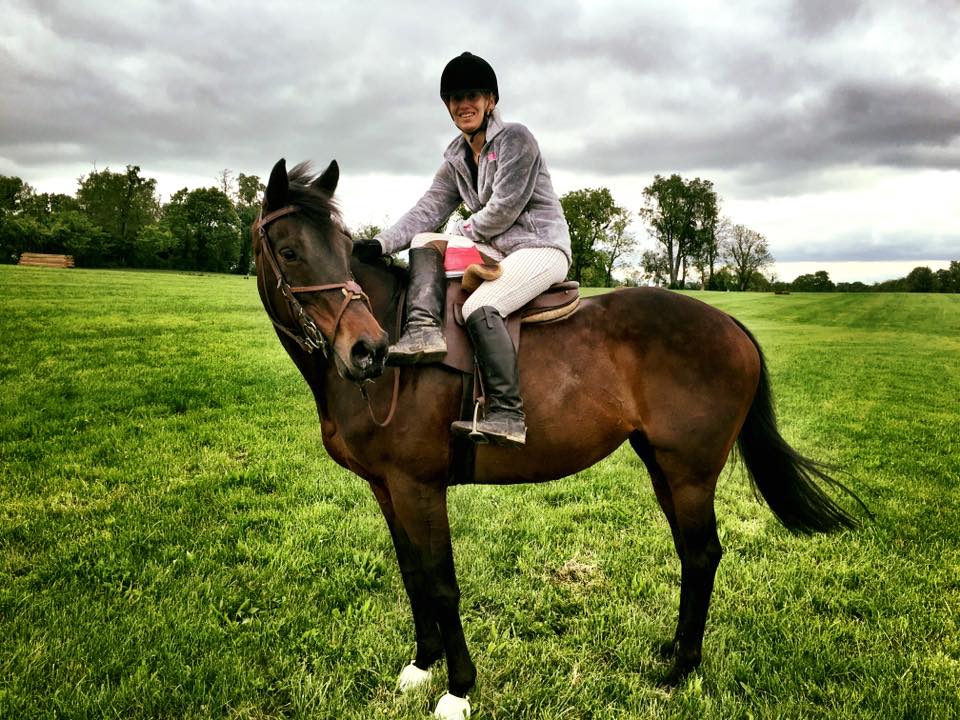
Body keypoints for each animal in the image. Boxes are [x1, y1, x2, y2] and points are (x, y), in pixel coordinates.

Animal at [253, 159, 864, 720]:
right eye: (290, 252)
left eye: (339, 248)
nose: (369, 350)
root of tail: (730, 324)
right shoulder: (386, 488)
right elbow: (413, 575)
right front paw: (422, 666)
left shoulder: (419, 487)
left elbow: (442, 582)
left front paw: (458, 689)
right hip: (663, 467)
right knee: (692, 554)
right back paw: (674, 651)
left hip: (690, 472)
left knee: (701, 553)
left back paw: (681, 669)